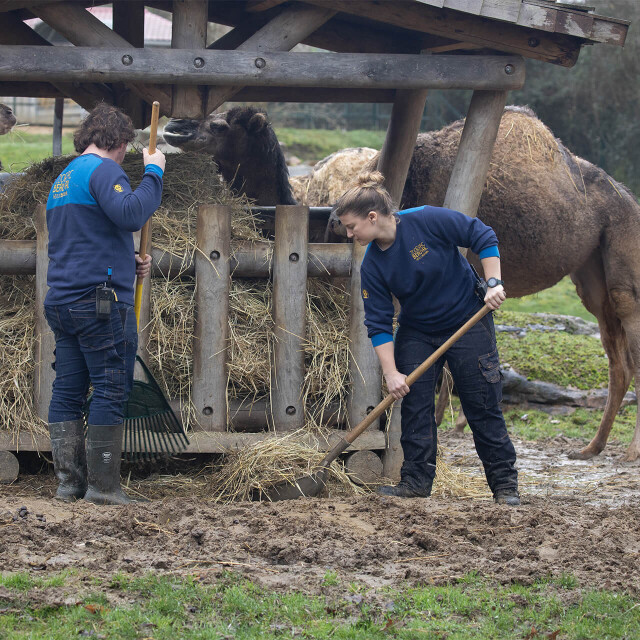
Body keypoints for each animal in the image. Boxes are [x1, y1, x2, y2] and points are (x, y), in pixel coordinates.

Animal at [161, 107, 640, 462]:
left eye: (221, 124)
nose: (174, 127)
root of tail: (626, 196)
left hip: (623, 257)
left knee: (630, 337)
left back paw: (628, 451)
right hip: (590, 274)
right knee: (616, 355)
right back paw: (590, 448)